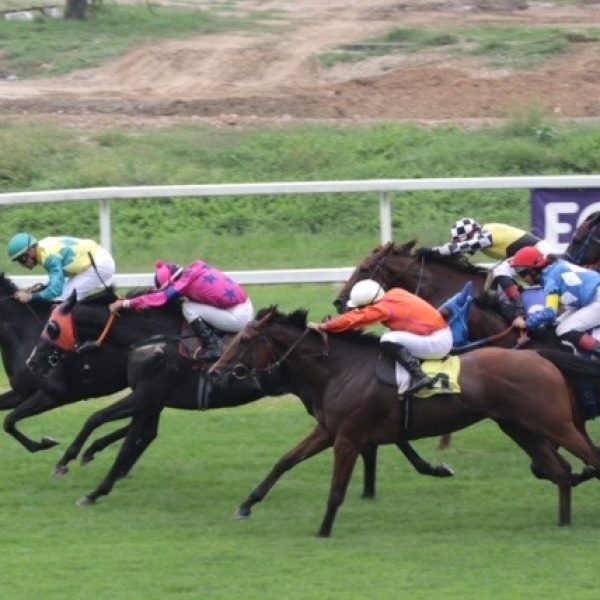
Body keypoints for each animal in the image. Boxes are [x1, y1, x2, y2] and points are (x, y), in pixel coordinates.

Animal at [26, 292, 452, 504]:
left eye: (51, 327)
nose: (32, 361)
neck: (154, 337)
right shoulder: (152, 399)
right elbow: (133, 437)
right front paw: (93, 467)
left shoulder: (147, 393)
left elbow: (100, 422)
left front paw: (73, 466)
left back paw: (421, 470)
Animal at [208, 307, 600, 537]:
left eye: (245, 339)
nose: (214, 372)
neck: (341, 369)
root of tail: (540, 356)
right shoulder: (329, 430)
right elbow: (284, 461)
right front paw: (245, 506)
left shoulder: (349, 437)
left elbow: (336, 491)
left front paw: (323, 530)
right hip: (520, 428)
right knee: (561, 471)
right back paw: (563, 524)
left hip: (555, 424)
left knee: (588, 461)